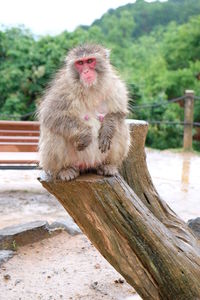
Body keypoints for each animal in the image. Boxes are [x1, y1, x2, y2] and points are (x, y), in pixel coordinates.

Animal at [38, 43, 130, 180]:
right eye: (80, 63)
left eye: (90, 61)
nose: (86, 71)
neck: (90, 88)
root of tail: (86, 166)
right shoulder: (62, 88)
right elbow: (51, 115)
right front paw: (85, 135)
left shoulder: (115, 86)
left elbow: (118, 113)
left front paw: (107, 130)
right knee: (55, 131)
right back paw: (63, 170)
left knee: (120, 126)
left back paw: (107, 165)